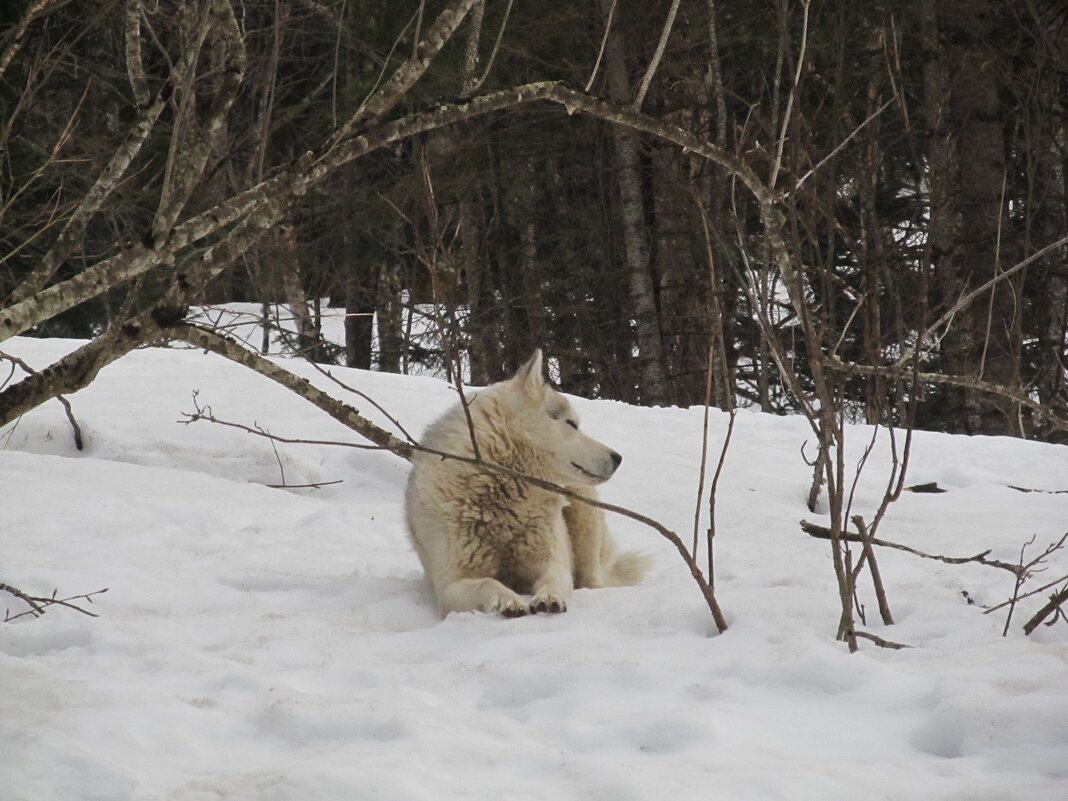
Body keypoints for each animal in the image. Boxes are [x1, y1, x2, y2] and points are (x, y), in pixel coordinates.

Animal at [403, 348, 645, 619]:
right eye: (571, 424)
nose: (618, 458)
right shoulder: (450, 587)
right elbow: (488, 582)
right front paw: (507, 600)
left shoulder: (551, 563)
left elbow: (553, 578)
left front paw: (548, 598)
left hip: (584, 513)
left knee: (593, 578)